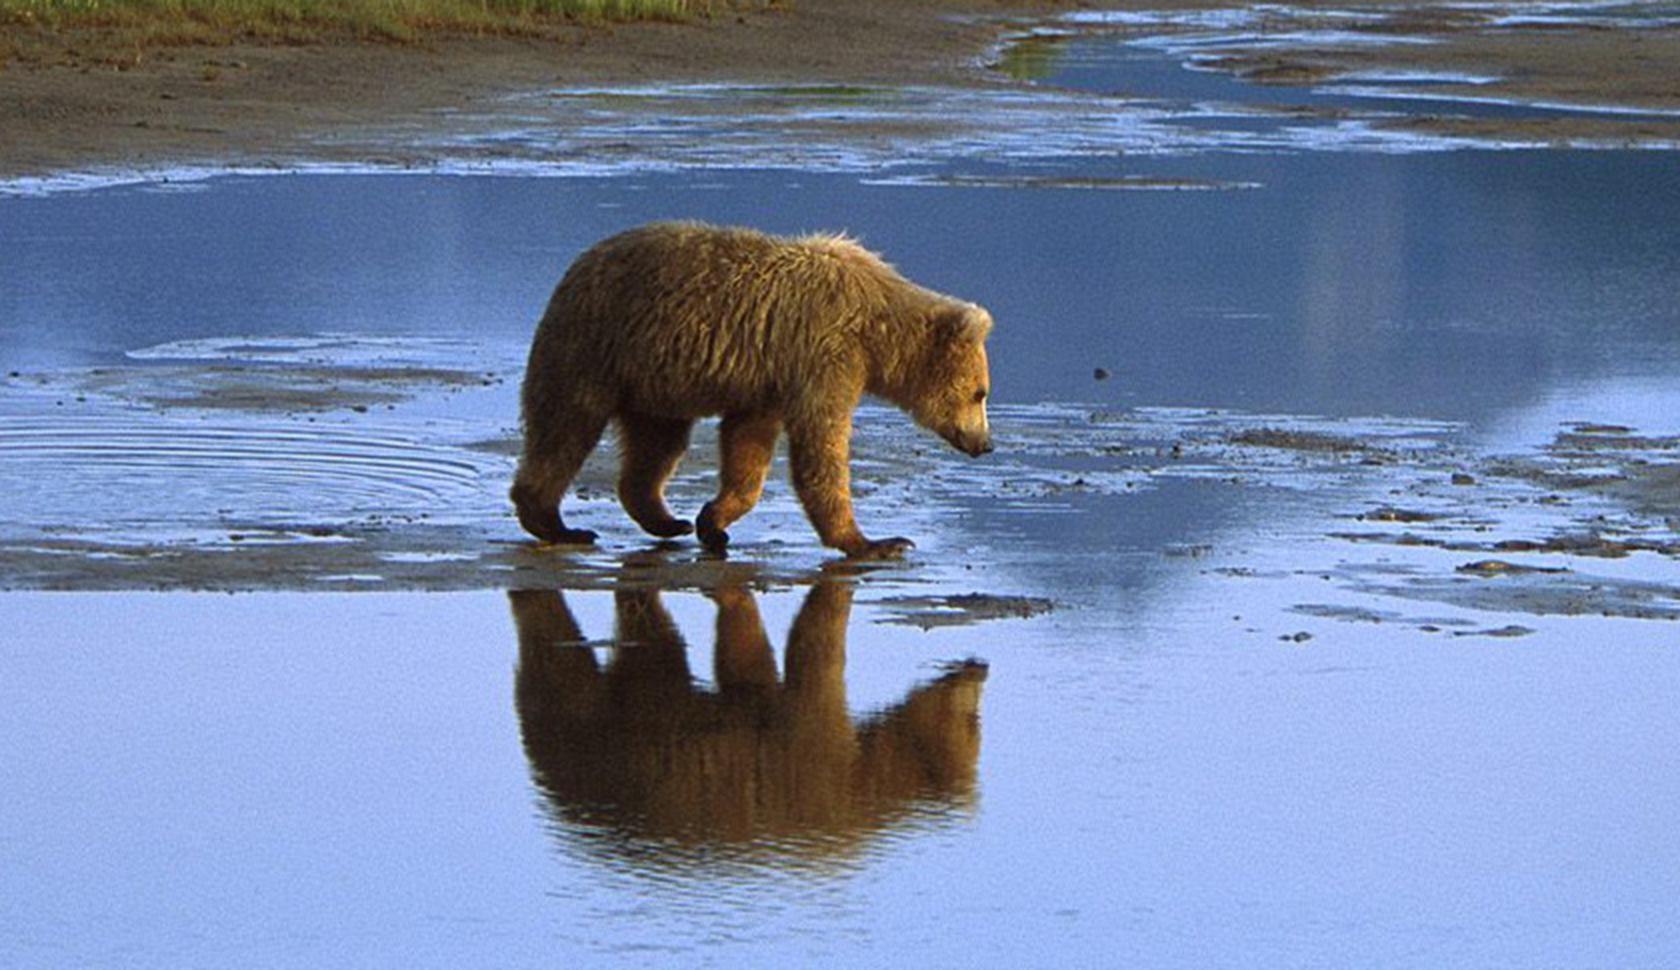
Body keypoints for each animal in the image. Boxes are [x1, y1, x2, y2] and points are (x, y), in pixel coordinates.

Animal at [503, 216, 987, 554]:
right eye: (980, 392)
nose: (986, 444)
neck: (877, 334)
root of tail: (577, 264)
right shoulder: (824, 355)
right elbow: (821, 447)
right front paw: (876, 543)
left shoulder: (771, 379)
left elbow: (748, 448)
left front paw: (712, 521)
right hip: (594, 346)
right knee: (565, 428)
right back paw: (557, 523)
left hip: (654, 378)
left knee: (656, 445)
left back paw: (667, 520)